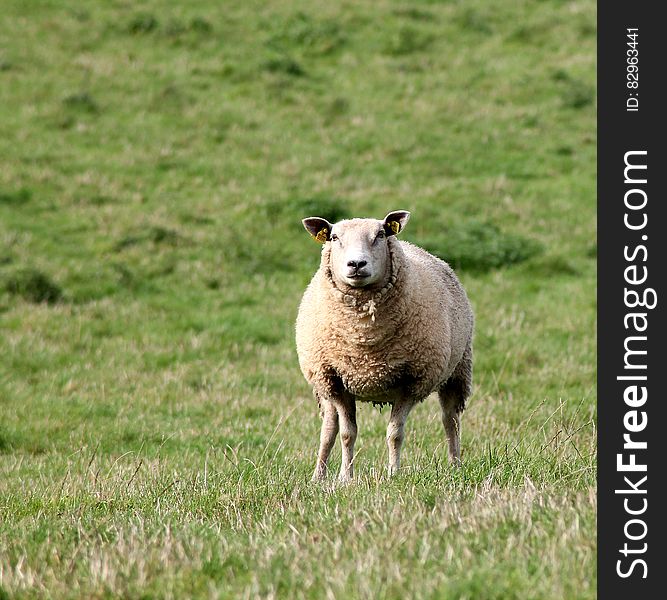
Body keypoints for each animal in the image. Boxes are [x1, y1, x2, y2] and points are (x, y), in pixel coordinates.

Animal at [298, 211, 474, 482]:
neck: (364, 339)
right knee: (329, 428)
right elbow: (346, 433)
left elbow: (395, 434)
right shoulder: (335, 379)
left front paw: (393, 474)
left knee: (450, 420)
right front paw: (345, 478)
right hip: (323, 384)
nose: (356, 264)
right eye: (334, 237)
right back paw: (318, 476)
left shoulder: (412, 381)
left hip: (457, 370)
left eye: (380, 235)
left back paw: (455, 465)